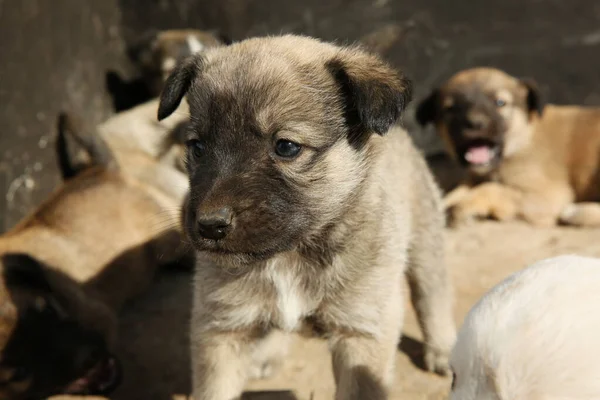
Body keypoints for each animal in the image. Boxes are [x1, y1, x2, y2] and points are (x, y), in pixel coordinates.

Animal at [0, 113, 190, 400]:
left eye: (47, 309)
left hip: (166, 240)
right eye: (18, 374)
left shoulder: (99, 316)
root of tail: (100, 170)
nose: (92, 356)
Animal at [157, 34, 458, 400]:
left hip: (425, 240)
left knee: (433, 294)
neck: (290, 255)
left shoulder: (360, 333)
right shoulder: (221, 329)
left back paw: (443, 348)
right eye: (197, 147)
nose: (209, 225)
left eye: (286, 146)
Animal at [418, 67, 600, 227]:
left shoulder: (548, 195)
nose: (475, 123)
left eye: (500, 103)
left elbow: (491, 189)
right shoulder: (474, 179)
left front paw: (464, 208)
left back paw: (576, 212)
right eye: (450, 109)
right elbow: (457, 191)